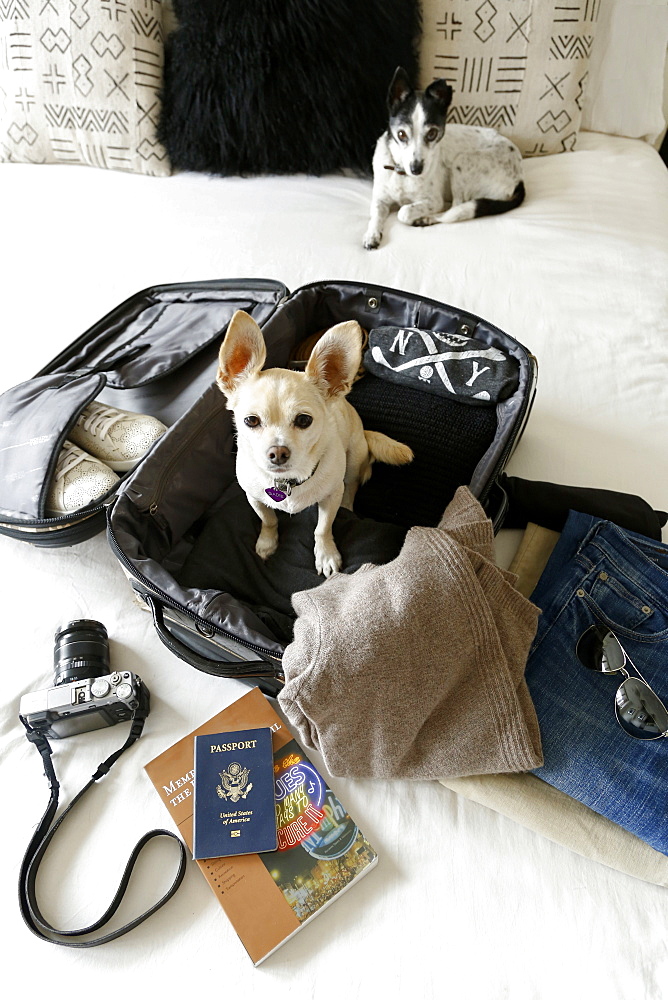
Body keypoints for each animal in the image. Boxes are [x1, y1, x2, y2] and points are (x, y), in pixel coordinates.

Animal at [362, 67, 524, 250]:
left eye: (432, 133)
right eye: (401, 134)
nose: (416, 169)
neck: (402, 173)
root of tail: (519, 177)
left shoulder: (434, 201)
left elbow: (404, 212)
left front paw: (416, 214)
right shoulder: (380, 199)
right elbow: (375, 215)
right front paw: (372, 234)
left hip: (462, 162)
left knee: (456, 207)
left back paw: (427, 219)